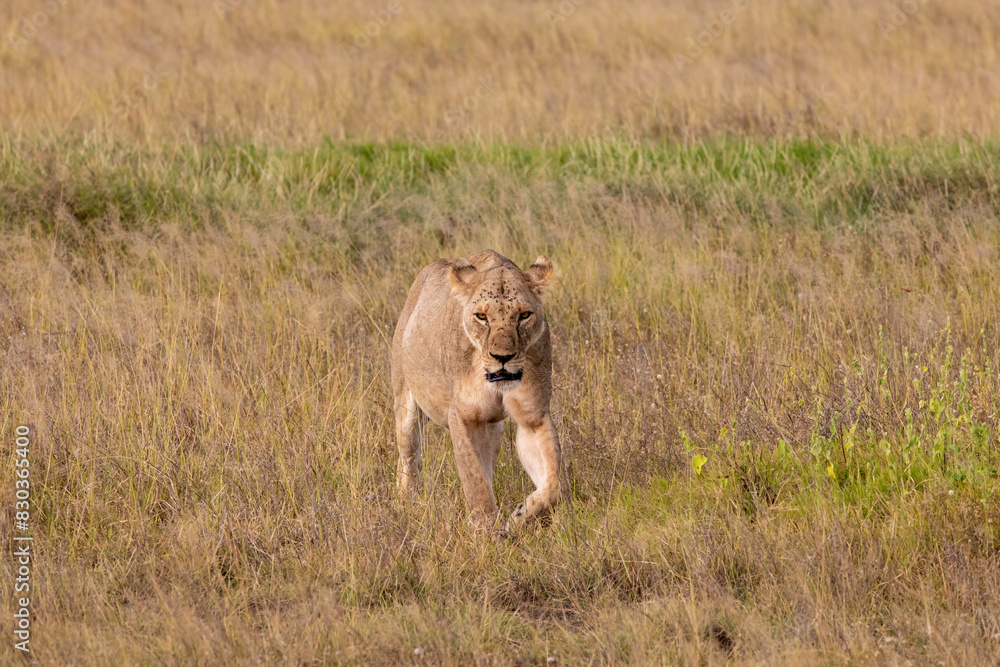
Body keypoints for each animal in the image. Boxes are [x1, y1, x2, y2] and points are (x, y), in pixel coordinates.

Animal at [391, 249, 561, 534]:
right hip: (406, 406)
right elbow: (476, 483)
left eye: (524, 315)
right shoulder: (463, 416)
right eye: (482, 317)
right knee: (409, 459)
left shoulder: (533, 417)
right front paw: (485, 534)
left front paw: (521, 516)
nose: (502, 357)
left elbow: (554, 484)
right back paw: (406, 503)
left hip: (493, 429)